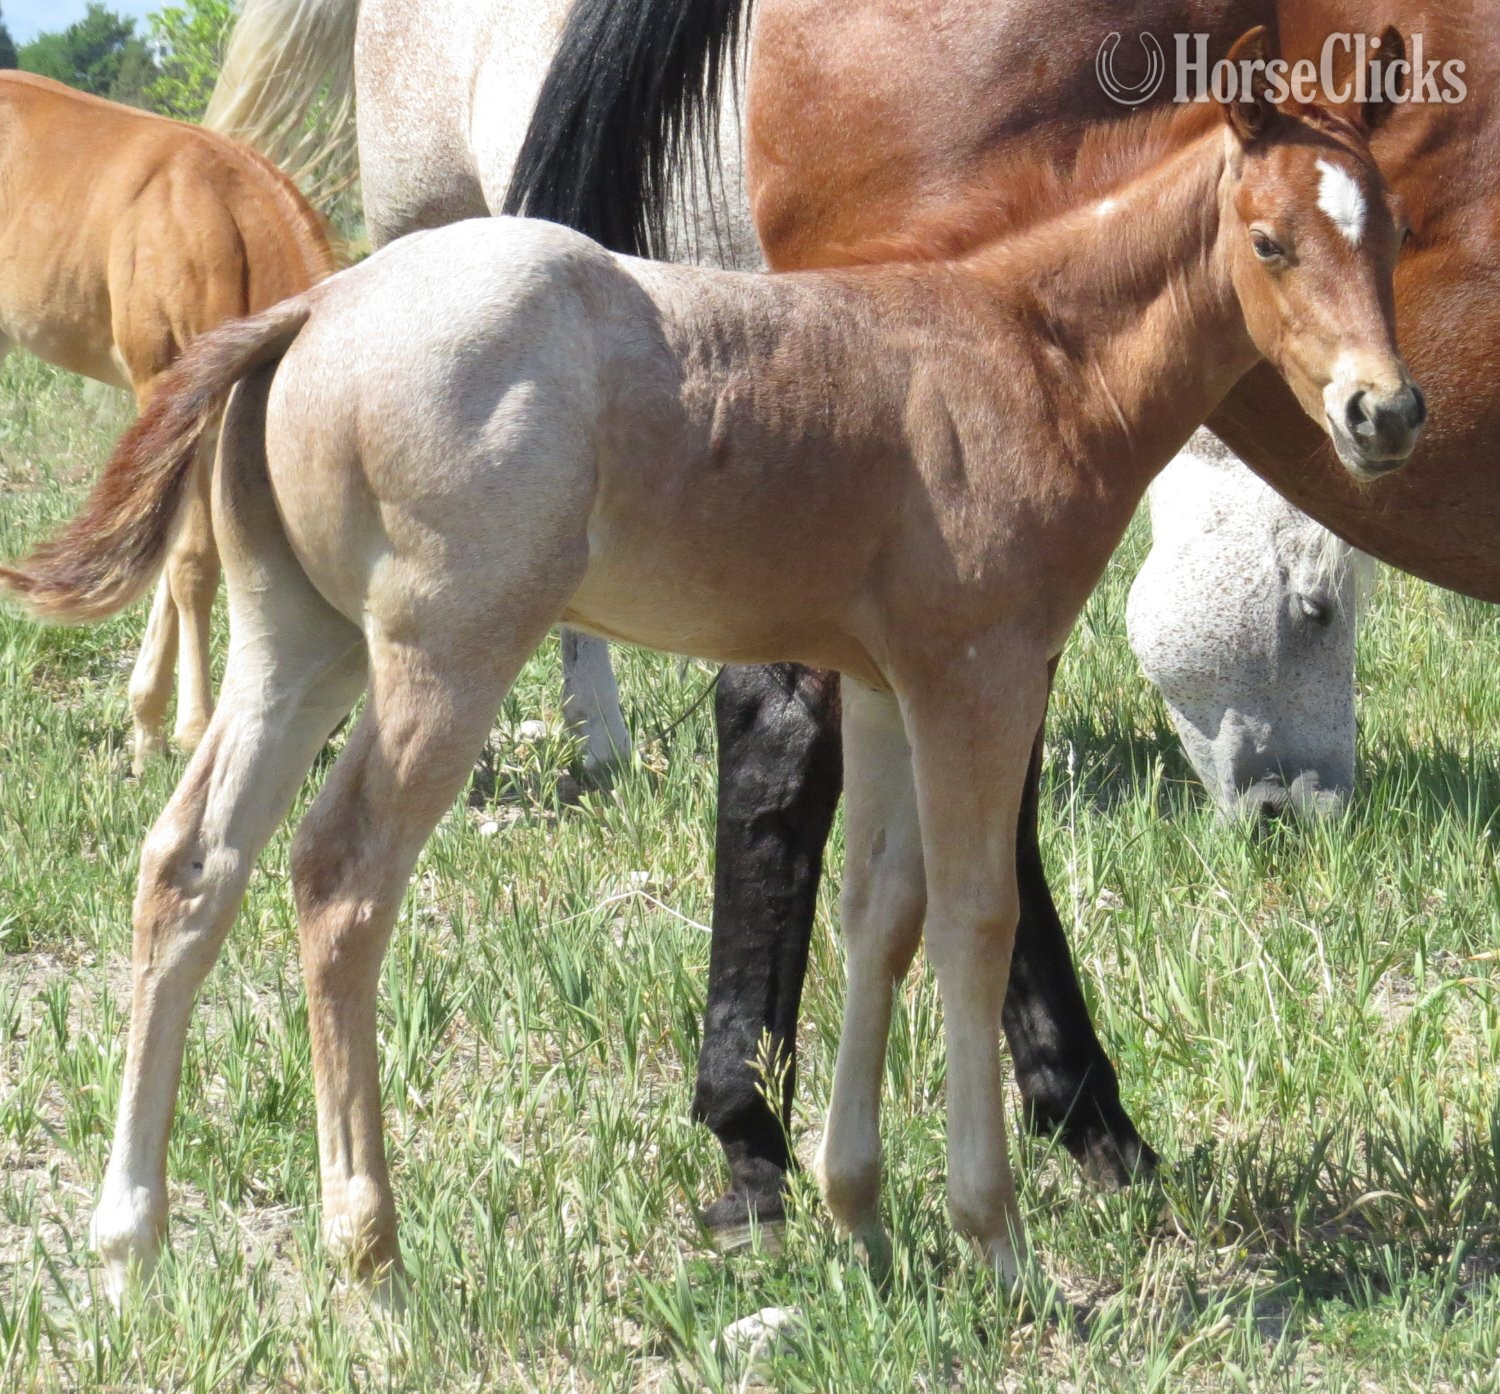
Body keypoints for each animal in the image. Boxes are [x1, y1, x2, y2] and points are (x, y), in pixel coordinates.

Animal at [0, 71, 336, 773]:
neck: (220, 222)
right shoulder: (166, 392)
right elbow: (188, 562)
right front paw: (192, 728)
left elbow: (174, 552)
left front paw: (148, 726)